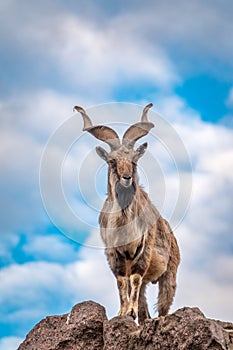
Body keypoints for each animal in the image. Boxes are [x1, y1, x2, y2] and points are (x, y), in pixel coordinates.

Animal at [74, 103, 180, 322]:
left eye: (134, 160)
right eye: (112, 161)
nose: (126, 178)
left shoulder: (143, 250)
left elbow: (135, 279)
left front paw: (130, 312)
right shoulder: (114, 254)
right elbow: (122, 281)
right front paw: (123, 312)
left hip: (170, 274)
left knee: (163, 305)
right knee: (143, 304)